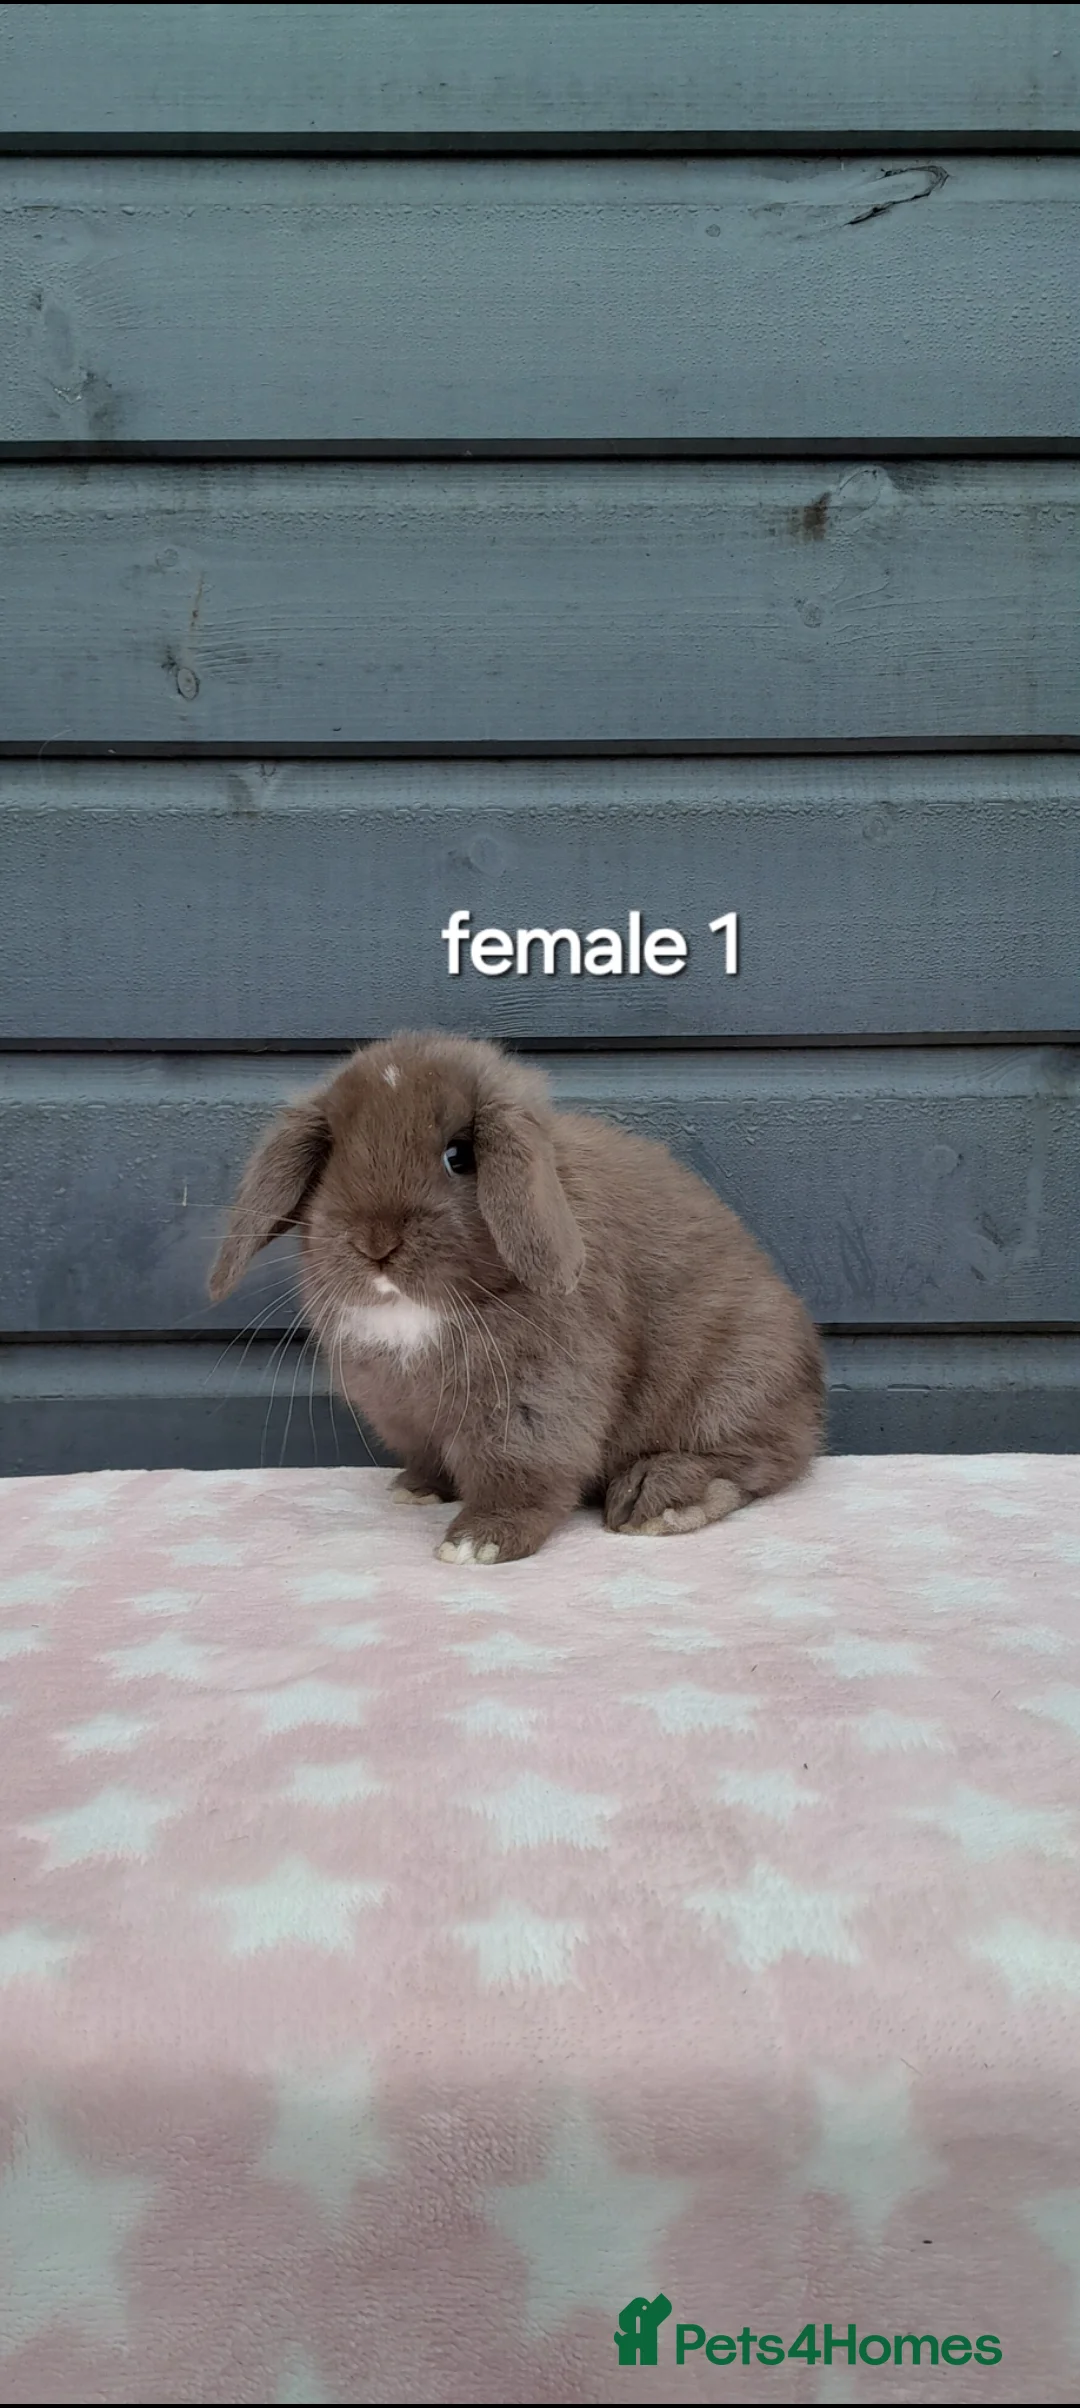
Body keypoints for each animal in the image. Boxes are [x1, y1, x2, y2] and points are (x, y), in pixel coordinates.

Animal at [209, 1031, 825, 1564]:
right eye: (333, 1155)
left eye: (459, 1155)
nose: (375, 1242)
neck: (417, 1312)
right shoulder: (405, 1413)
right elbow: (428, 1457)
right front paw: (417, 1490)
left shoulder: (534, 1401)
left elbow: (522, 1476)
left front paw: (477, 1543)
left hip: (735, 1381)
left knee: (762, 1459)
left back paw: (657, 1500)